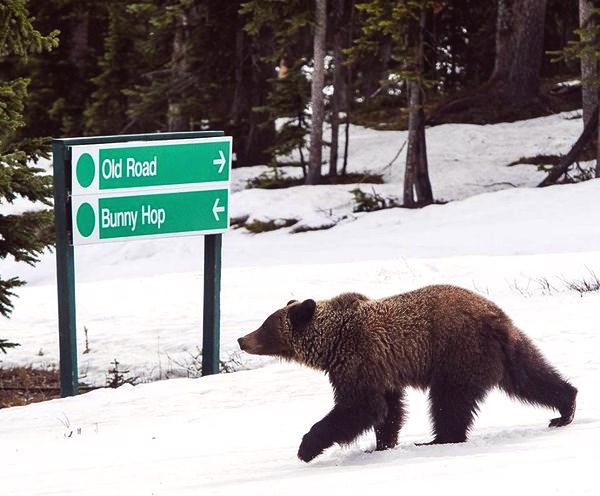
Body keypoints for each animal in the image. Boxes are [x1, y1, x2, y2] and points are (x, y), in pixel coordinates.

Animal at [238, 284, 576, 464]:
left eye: (265, 325)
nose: (242, 339)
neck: (332, 341)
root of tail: (495, 319)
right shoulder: (380, 368)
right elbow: (388, 410)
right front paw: (381, 444)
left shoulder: (356, 359)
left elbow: (358, 407)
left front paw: (306, 447)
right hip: (506, 350)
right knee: (531, 377)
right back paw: (565, 408)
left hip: (456, 351)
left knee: (449, 400)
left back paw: (438, 439)